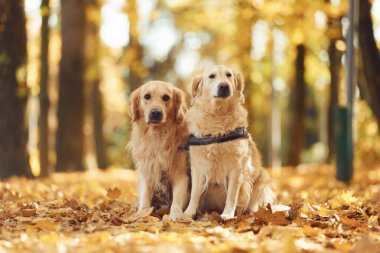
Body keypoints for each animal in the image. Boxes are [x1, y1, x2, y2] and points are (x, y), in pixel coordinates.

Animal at [128, 80, 189, 219]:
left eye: (166, 97)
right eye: (147, 96)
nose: (155, 113)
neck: (157, 137)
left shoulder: (181, 175)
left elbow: (177, 198)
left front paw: (176, 215)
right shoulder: (148, 171)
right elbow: (145, 196)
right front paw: (142, 213)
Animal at [183, 65, 274, 219]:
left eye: (229, 75)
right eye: (212, 76)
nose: (224, 86)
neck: (217, 117)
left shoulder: (236, 167)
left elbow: (232, 195)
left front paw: (228, 214)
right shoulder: (197, 166)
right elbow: (194, 194)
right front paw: (188, 213)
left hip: (261, 176)